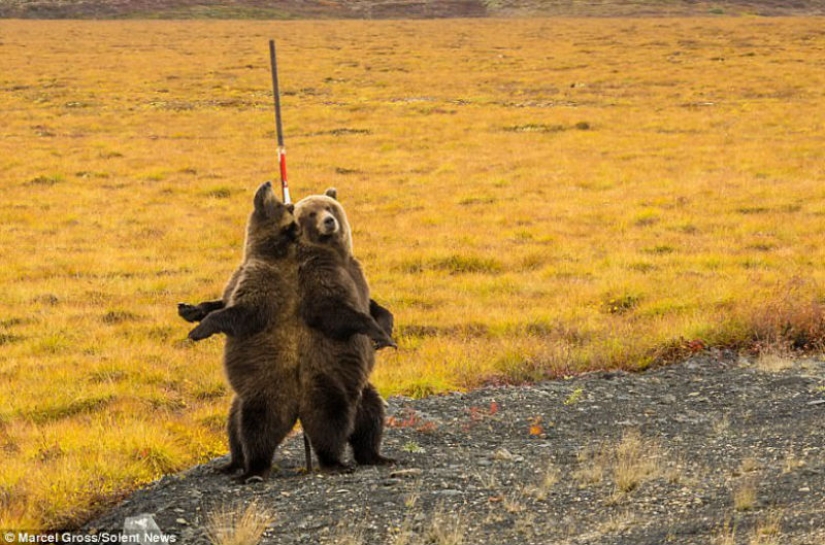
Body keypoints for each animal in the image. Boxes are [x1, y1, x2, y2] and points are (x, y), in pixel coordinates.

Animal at [184, 181, 302, 483]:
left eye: (281, 204)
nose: (267, 183)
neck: (258, 252)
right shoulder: (236, 277)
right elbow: (221, 301)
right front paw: (190, 309)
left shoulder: (267, 282)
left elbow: (245, 312)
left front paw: (199, 330)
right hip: (236, 403)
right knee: (233, 429)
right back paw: (229, 464)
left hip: (264, 394)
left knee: (257, 429)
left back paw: (252, 471)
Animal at [294, 188, 396, 470]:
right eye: (311, 213)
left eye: (329, 206)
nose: (329, 221)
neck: (334, 254)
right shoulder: (318, 275)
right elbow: (332, 310)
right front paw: (377, 333)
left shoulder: (356, 272)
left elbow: (374, 305)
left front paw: (386, 333)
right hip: (328, 377)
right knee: (328, 420)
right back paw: (335, 461)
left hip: (364, 390)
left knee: (371, 420)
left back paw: (377, 456)